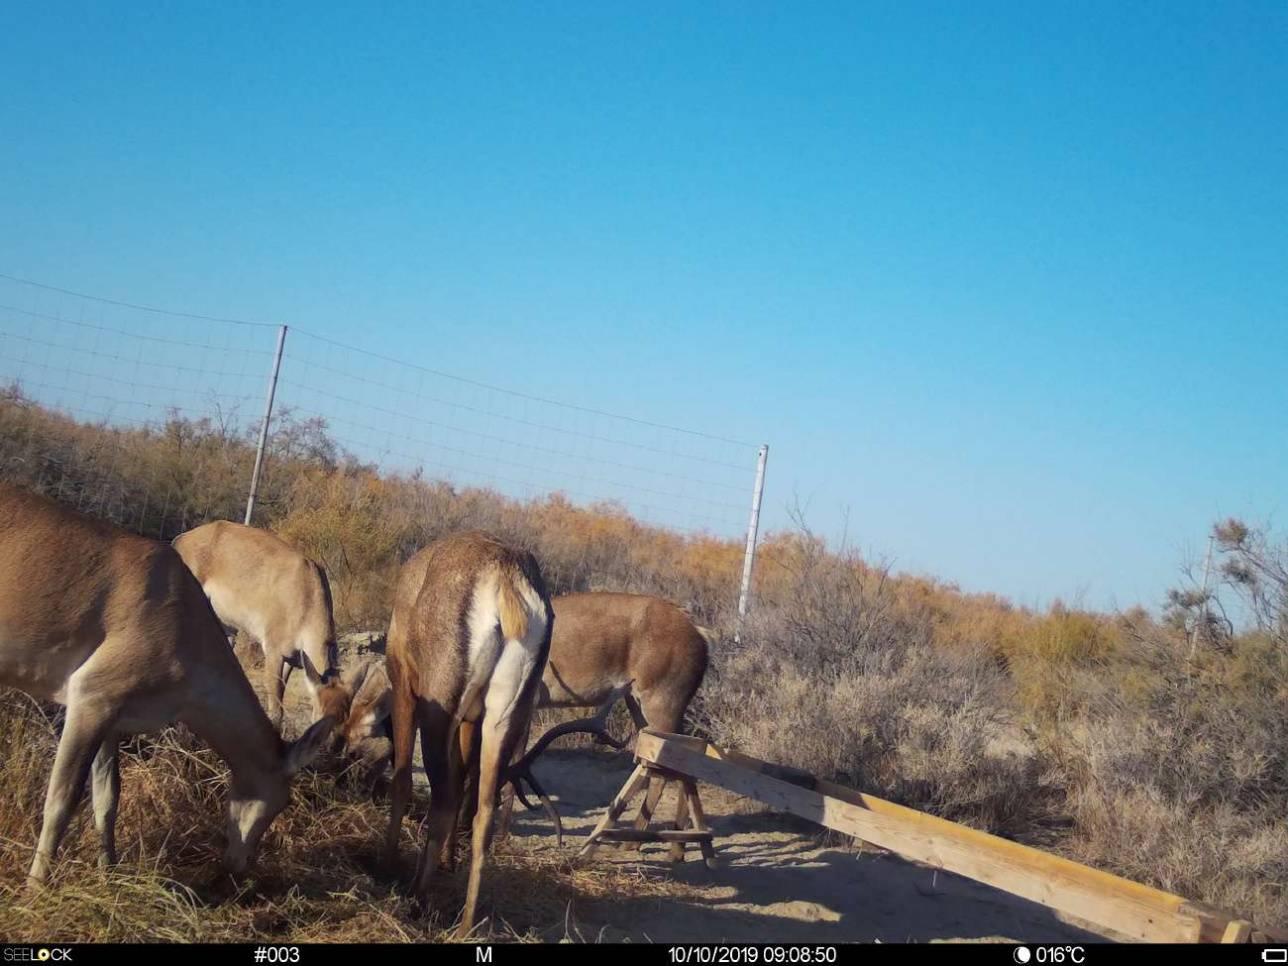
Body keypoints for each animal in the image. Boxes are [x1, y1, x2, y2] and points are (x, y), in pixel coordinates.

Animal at [173, 522, 342, 731]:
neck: (307, 594)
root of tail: (181, 539)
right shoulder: (274, 652)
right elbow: (275, 711)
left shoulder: (292, 659)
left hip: (225, 626)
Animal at [383, 533, 556, 942]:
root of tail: (507, 580)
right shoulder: (471, 719)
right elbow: (464, 775)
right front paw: (449, 861)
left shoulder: (404, 685)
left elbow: (401, 776)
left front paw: (384, 863)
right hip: (502, 718)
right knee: (483, 809)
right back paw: (464, 923)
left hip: (438, 709)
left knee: (443, 799)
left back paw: (417, 897)